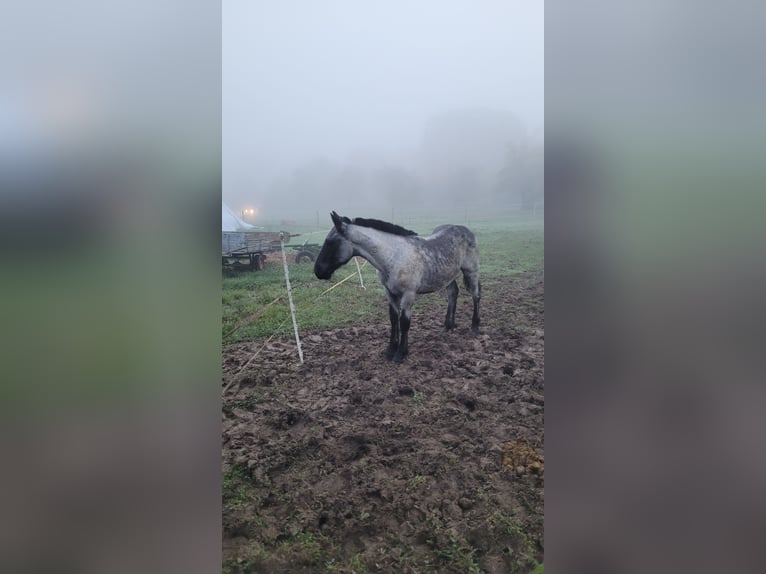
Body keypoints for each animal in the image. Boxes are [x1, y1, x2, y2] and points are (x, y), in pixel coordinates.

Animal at [312, 212, 480, 364]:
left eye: (330, 242)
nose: (318, 271)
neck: (393, 256)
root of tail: (465, 229)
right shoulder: (390, 293)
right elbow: (393, 319)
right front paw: (390, 350)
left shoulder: (408, 294)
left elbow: (404, 322)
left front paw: (401, 353)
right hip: (447, 275)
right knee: (453, 294)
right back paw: (448, 327)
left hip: (471, 270)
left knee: (476, 295)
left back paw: (474, 327)